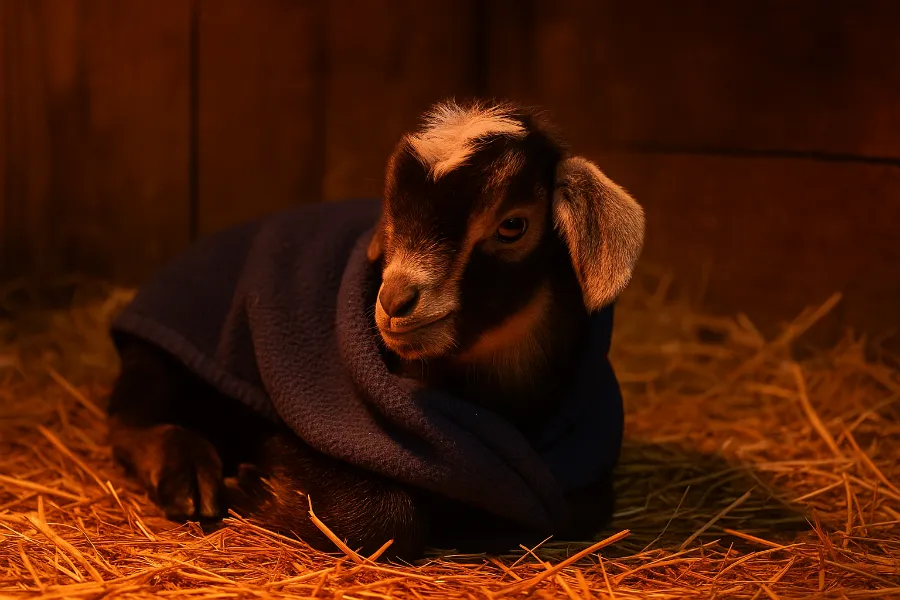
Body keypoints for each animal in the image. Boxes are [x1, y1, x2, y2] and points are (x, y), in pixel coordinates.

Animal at [106, 99, 645, 560]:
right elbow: (382, 518)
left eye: (513, 225)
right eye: (393, 213)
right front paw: (256, 486)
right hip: (157, 361)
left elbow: (578, 508)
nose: (394, 301)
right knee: (129, 419)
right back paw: (188, 475)